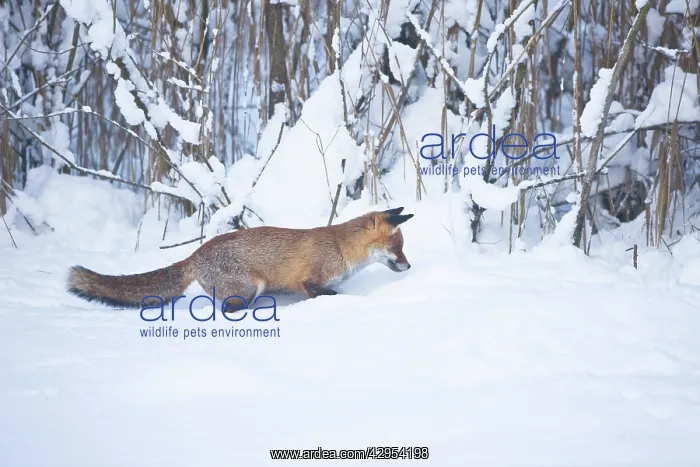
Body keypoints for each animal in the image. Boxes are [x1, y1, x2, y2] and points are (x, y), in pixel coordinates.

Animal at [67, 207, 414, 310]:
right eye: (398, 246)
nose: (409, 266)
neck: (341, 249)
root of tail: (194, 255)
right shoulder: (309, 280)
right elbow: (328, 294)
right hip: (249, 288)